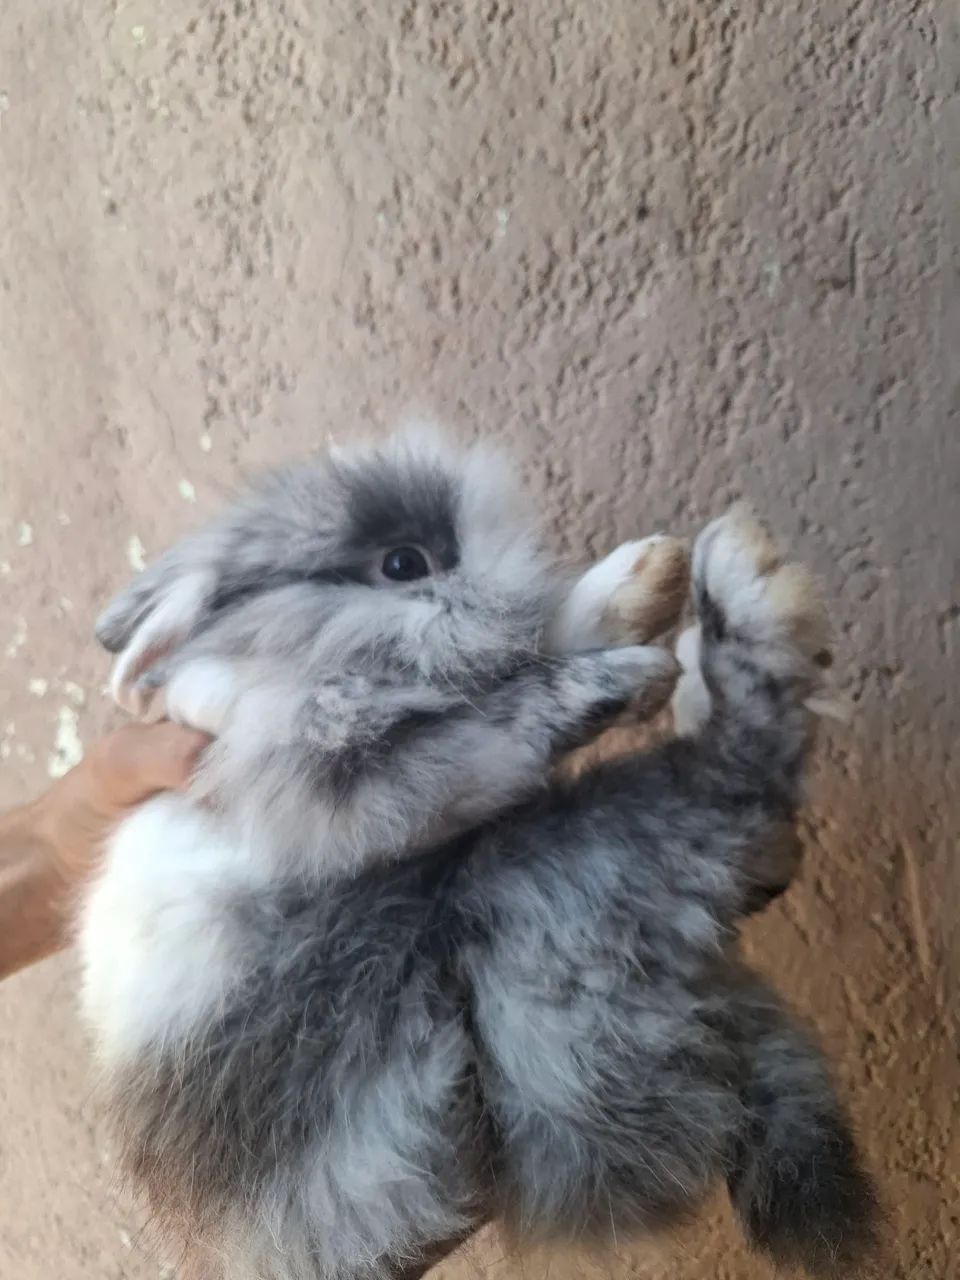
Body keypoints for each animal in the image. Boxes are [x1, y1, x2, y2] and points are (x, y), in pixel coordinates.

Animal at [78, 432, 879, 1280]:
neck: (277, 664)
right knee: (740, 773)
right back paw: (741, 579)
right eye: (404, 564)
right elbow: (511, 705)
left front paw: (641, 580)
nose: (525, 567)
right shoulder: (376, 780)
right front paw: (634, 649)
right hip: (549, 944)